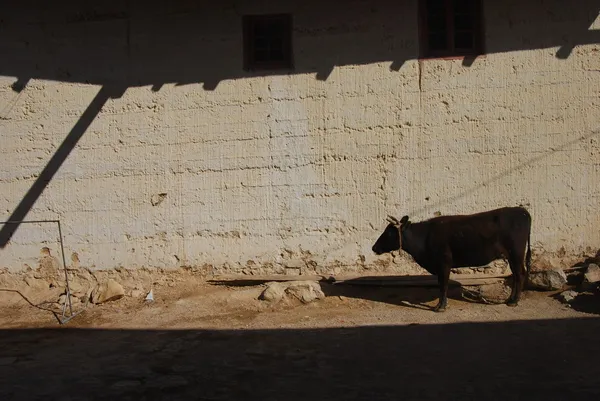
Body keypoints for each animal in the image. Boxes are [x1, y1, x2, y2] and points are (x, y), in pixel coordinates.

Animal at [372, 206, 532, 312]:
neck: (425, 237)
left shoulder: (444, 264)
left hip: (516, 254)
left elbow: (443, 285)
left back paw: (514, 301)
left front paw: (440, 306)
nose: (374, 247)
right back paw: (510, 299)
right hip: (512, 256)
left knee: (520, 274)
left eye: (389, 233)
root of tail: (521, 211)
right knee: (516, 275)